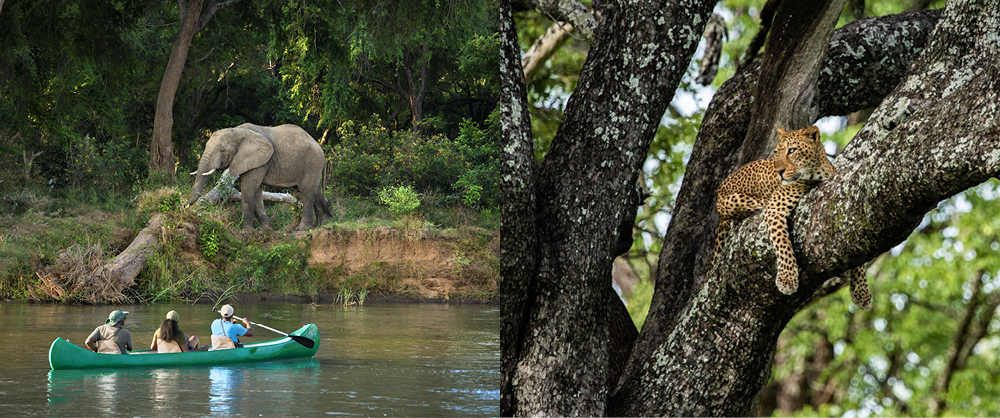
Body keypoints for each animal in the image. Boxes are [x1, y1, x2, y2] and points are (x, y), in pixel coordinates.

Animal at [187, 123, 334, 231]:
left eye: (222, 150)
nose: (186, 206)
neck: (238, 130)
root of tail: (321, 149)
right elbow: (256, 190)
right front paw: (266, 230)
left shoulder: (260, 160)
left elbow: (248, 187)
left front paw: (246, 231)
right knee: (316, 191)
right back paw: (325, 224)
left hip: (312, 163)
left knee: (307, 192)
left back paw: (302, 229)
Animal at [711, 125, 871, 310]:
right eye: (776, 153)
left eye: (792, 150)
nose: (778, 172)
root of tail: (720, 187)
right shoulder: (774, 209)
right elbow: (783, 244)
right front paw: (787, 279)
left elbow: (859, 254)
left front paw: (861, 292)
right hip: (730, 201)